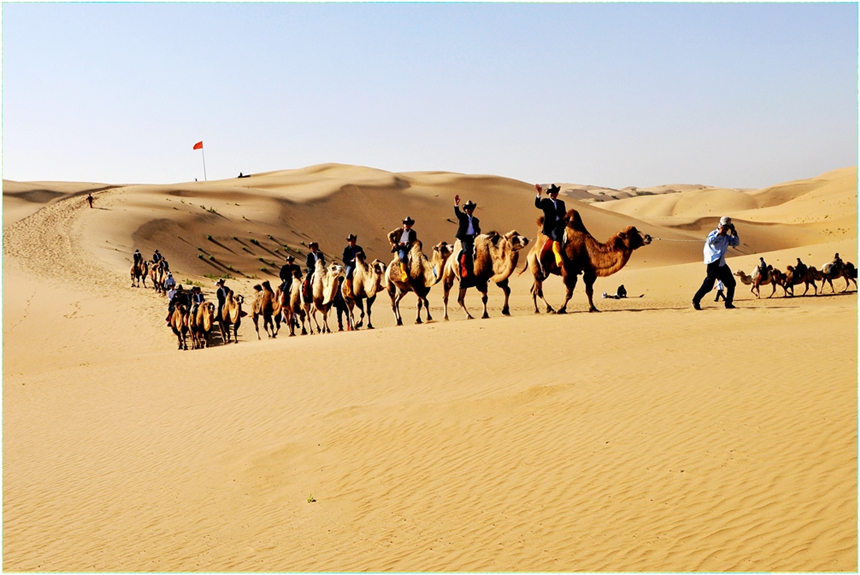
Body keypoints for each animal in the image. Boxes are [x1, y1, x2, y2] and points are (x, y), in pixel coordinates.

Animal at [524, 209, 652, 312]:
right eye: (632, 233)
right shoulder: (569, 271)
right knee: (538, 290)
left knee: (534, 289)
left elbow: (589, 291)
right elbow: (569, 293)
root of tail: (530, 253)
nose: (648, 237)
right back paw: (550, 309)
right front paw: (561, 309)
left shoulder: (590, 271)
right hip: (536, 266)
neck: (589, 250)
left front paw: (593, 308)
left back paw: (537, 310)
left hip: (543, 272)